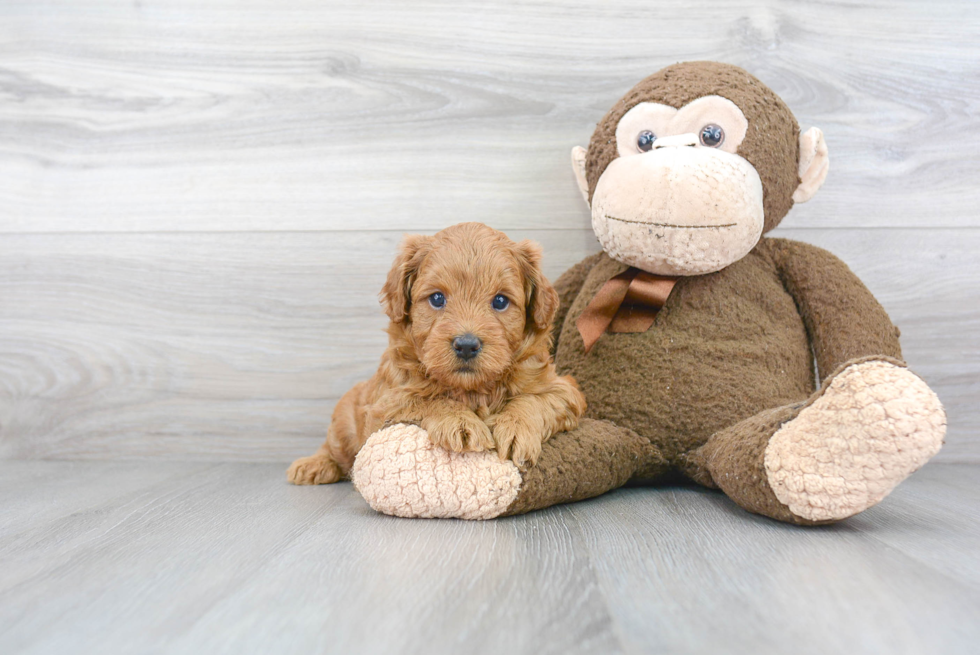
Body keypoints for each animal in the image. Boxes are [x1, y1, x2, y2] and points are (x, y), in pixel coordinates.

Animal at [288, 223, 584, 484]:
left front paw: (516, 428)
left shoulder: (562, 389)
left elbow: (534, 400)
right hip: (344, 421)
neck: (472, 389)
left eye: (500, 301)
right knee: (334, 449)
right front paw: (460, 421)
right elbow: (427, 399)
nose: (466, 345)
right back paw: (313, 465)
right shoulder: (386, 403)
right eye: (437, 298)